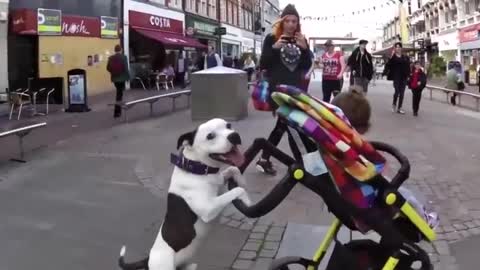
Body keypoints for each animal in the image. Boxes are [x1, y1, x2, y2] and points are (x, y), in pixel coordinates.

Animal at [117, 118, 251, 270]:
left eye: (228, 125)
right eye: (210, 136)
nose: (234, 136)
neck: (197, 169)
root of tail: (148, 260)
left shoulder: (219, 181)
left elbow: (233, 169)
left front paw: (242, 180)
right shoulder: (208, 209)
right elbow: (236, 190)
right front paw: (247, 200)